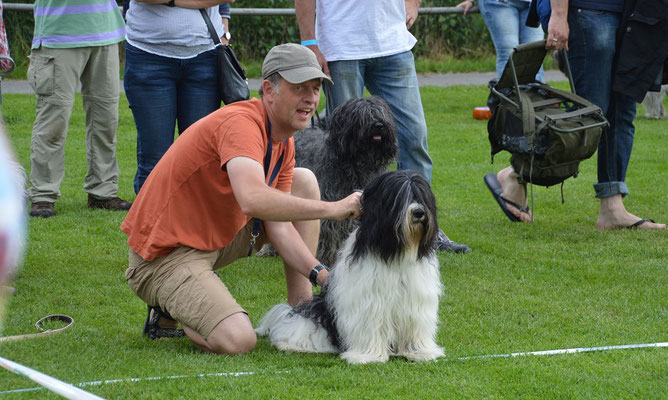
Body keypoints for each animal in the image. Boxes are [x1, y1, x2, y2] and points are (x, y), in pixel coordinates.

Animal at [256, 170, 444, 364]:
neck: (396, 252)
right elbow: (370, 328)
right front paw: (367, 356)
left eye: (422, 196)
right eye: (399, 198)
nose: (419, 212)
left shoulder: (416, 303)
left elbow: (415, 328)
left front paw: (420, 352)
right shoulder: (370, 303)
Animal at [260, 95, 400, 268]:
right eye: (362, 116)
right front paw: (326, 259)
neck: (357, 166)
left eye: (381, 112)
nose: (379, 125)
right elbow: (328, 229)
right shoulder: (330, 201)